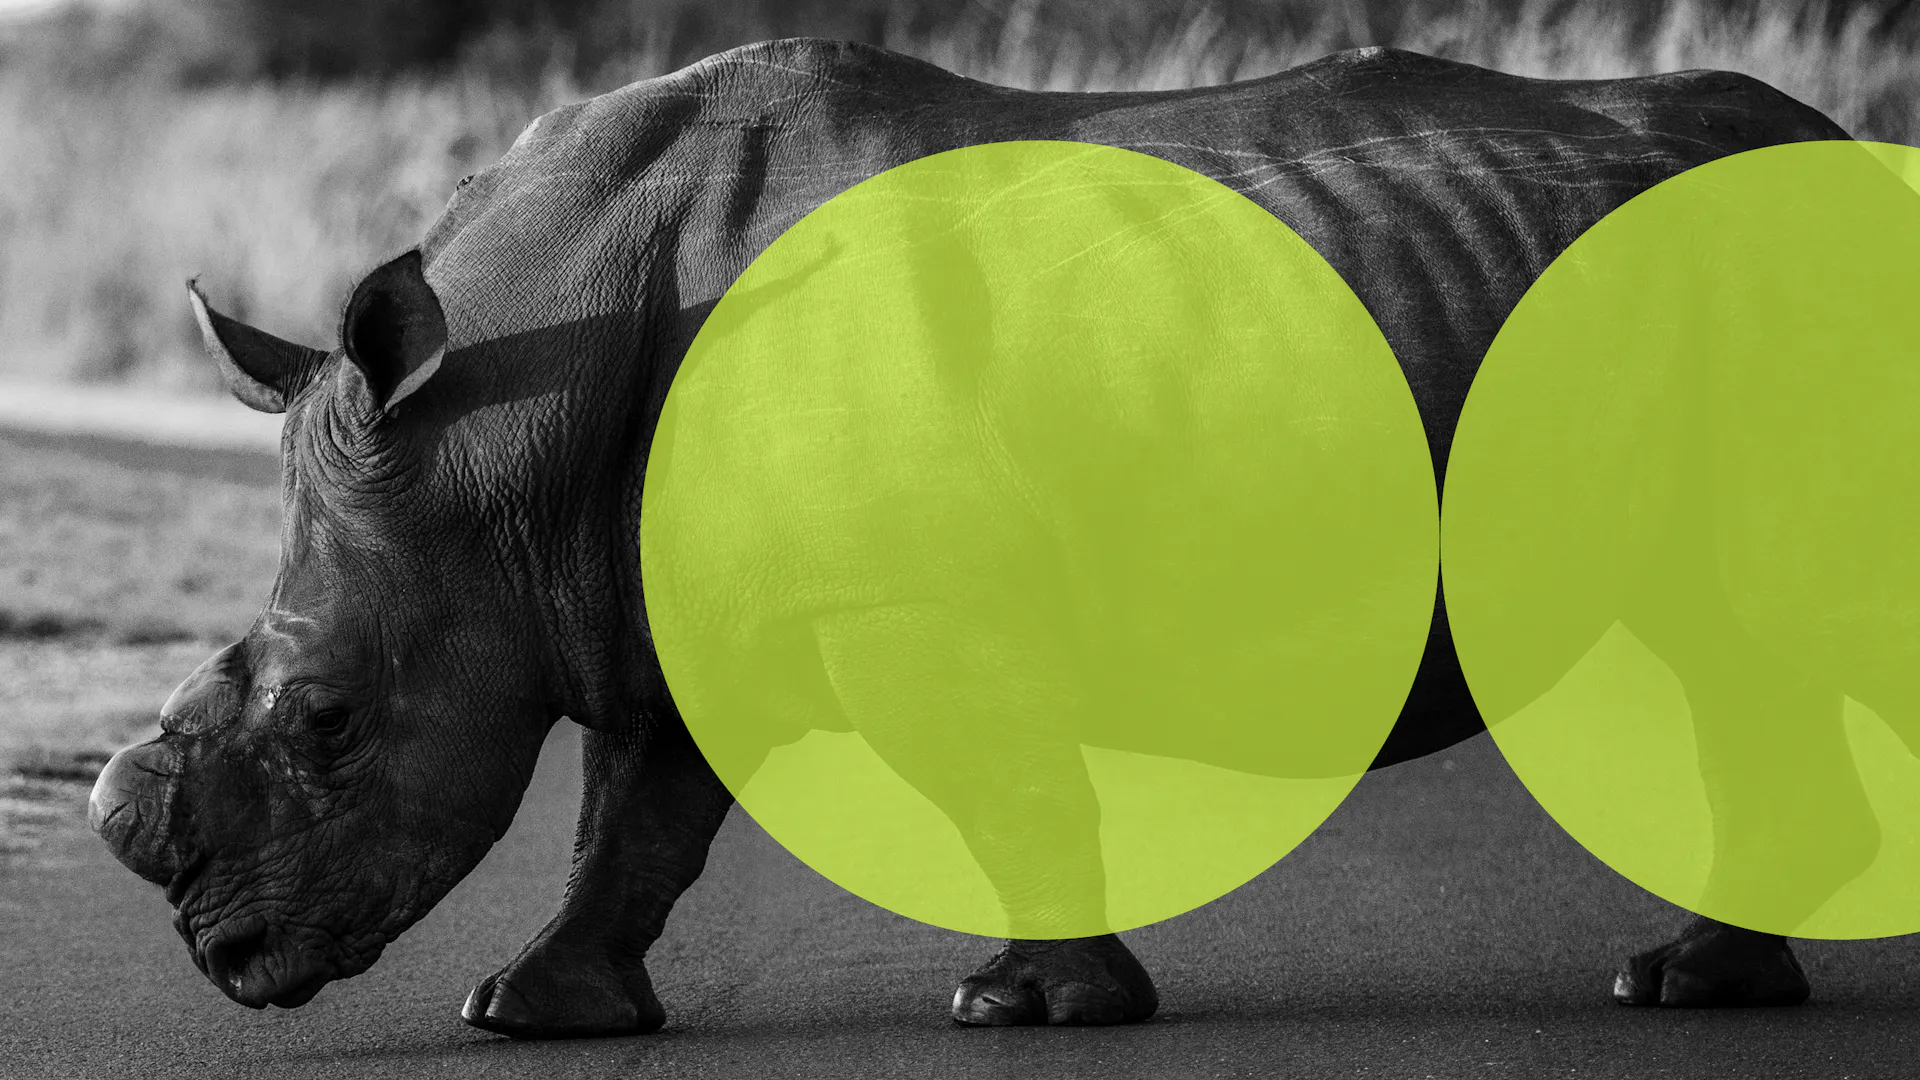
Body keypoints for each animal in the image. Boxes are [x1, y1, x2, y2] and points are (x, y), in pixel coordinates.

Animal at [89, 39, 1856, 1036]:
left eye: (328, 722)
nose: (220, 957)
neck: (503, 431)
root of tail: (1855, 153)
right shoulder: (635, 588)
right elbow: (631, 819)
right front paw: (533, 1013)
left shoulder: (907, 601)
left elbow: (1010, 792)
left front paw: (1031, 1008)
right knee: (1730, 646)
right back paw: (1694, 985)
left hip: (1792, 288)